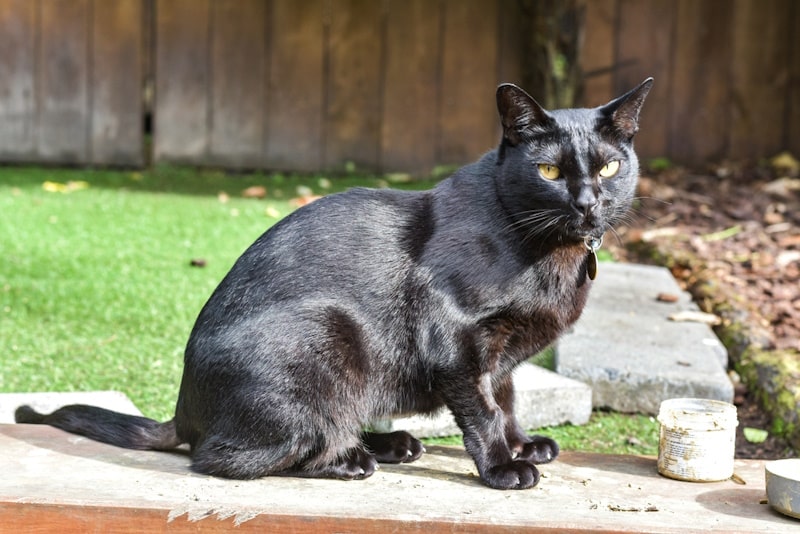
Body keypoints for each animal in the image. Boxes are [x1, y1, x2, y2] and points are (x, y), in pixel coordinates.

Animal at [17, 78, 648, 490]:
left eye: (610, 167)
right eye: (549, 171)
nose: (588, 202)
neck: (548, 253)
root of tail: (183, 410)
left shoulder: (502, 354)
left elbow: (508, 397)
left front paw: (523, 444)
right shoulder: (457, 339)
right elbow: (484, 409)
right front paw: (503, 466)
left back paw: (389, 443)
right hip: (327, 333)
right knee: (225, 457)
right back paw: (349, 460)